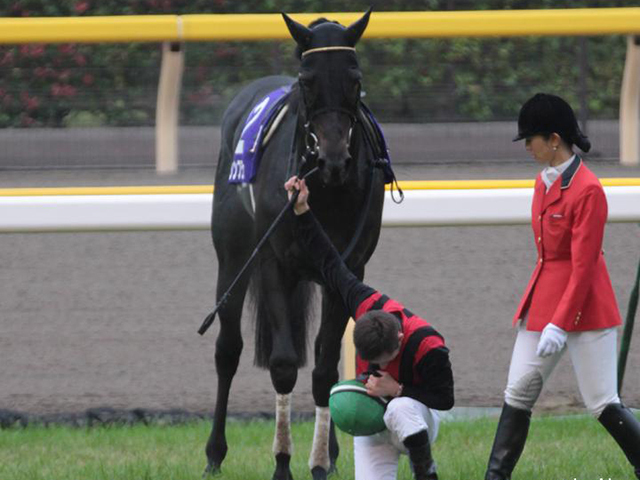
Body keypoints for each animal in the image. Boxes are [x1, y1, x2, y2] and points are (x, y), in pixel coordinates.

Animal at [205, 8, 388, 480]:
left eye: (355, 78)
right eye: (307, 80)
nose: (334, 159)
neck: (326, 190)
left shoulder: (348, 266)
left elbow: (325, 365)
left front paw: (321, 462)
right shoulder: (274, 264)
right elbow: (284, 364)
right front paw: (282, 463)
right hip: (233, 260)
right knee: (227, 349)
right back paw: (214, 454)